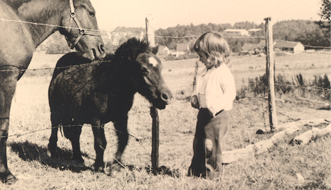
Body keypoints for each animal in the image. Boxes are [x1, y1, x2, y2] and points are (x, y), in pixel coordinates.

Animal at [0, 0, 105, 184]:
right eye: (91, 13)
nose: (101, 48)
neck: (18, 21)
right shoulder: (7, 80)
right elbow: (3, 128)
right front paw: (6, 173)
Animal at [48, 37, 174, 174]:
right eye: (143, 69)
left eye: (161, 68)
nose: (166, 97)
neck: (110, 86)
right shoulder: (97, 121)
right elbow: (100, 143)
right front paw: (98, 166)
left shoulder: (121, 117)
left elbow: (124, 139)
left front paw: (115, 164)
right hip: (55, 112)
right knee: (54, 129)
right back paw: (52, 152)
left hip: (76, 118)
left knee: (75, 135)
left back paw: (78, 158)